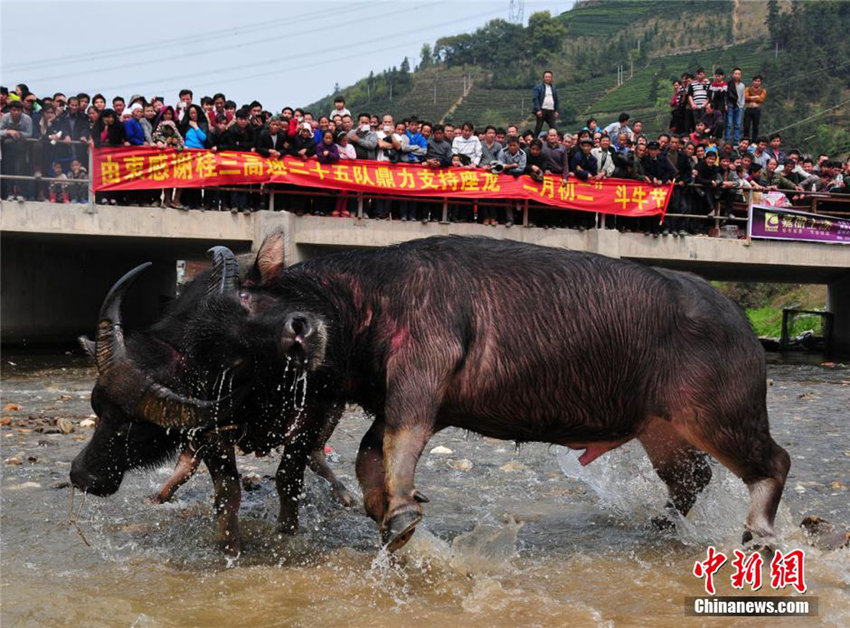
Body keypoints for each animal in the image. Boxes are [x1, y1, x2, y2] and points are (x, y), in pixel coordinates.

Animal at [68, 249, 354, 556]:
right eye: (97, 409)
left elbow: (288, 477)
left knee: (317, 451)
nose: (82, 476)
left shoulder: (311, 412)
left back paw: (343, 493)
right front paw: (229, 547)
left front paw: (286, 531)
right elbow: (227, 491)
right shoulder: (209, 428)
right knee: (187, 464)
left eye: (136, 426)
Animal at [227, 234, 788, 548]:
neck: (369, 303)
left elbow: (399, 440)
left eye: (244, 315)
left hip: (719, 412)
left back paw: (759, 536)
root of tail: (742, 320)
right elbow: (370, 449)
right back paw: (661, 526)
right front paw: (378, 506)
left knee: (773, 462)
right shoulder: (402, 398)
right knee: (694, 478)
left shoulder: (421, 372)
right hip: (661, 429)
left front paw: (402, 514)